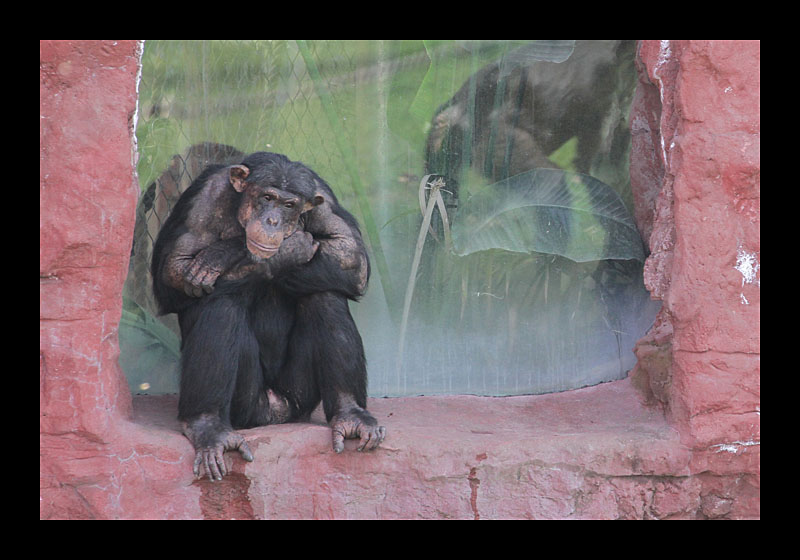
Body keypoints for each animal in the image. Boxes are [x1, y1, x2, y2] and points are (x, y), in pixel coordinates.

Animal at [153, 151, 388, 480]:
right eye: (267, 197)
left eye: (289, 205)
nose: (273, 220)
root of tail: (275, 415)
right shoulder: (204, 199)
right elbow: (173, 270)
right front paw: (284, 248)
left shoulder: (323, 198)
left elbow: (350, 255)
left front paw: (227, 252)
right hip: (247, 406)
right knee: (218, 305)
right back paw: (208, 427)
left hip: (299, 397)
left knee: (326, 295)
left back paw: (350, 413)